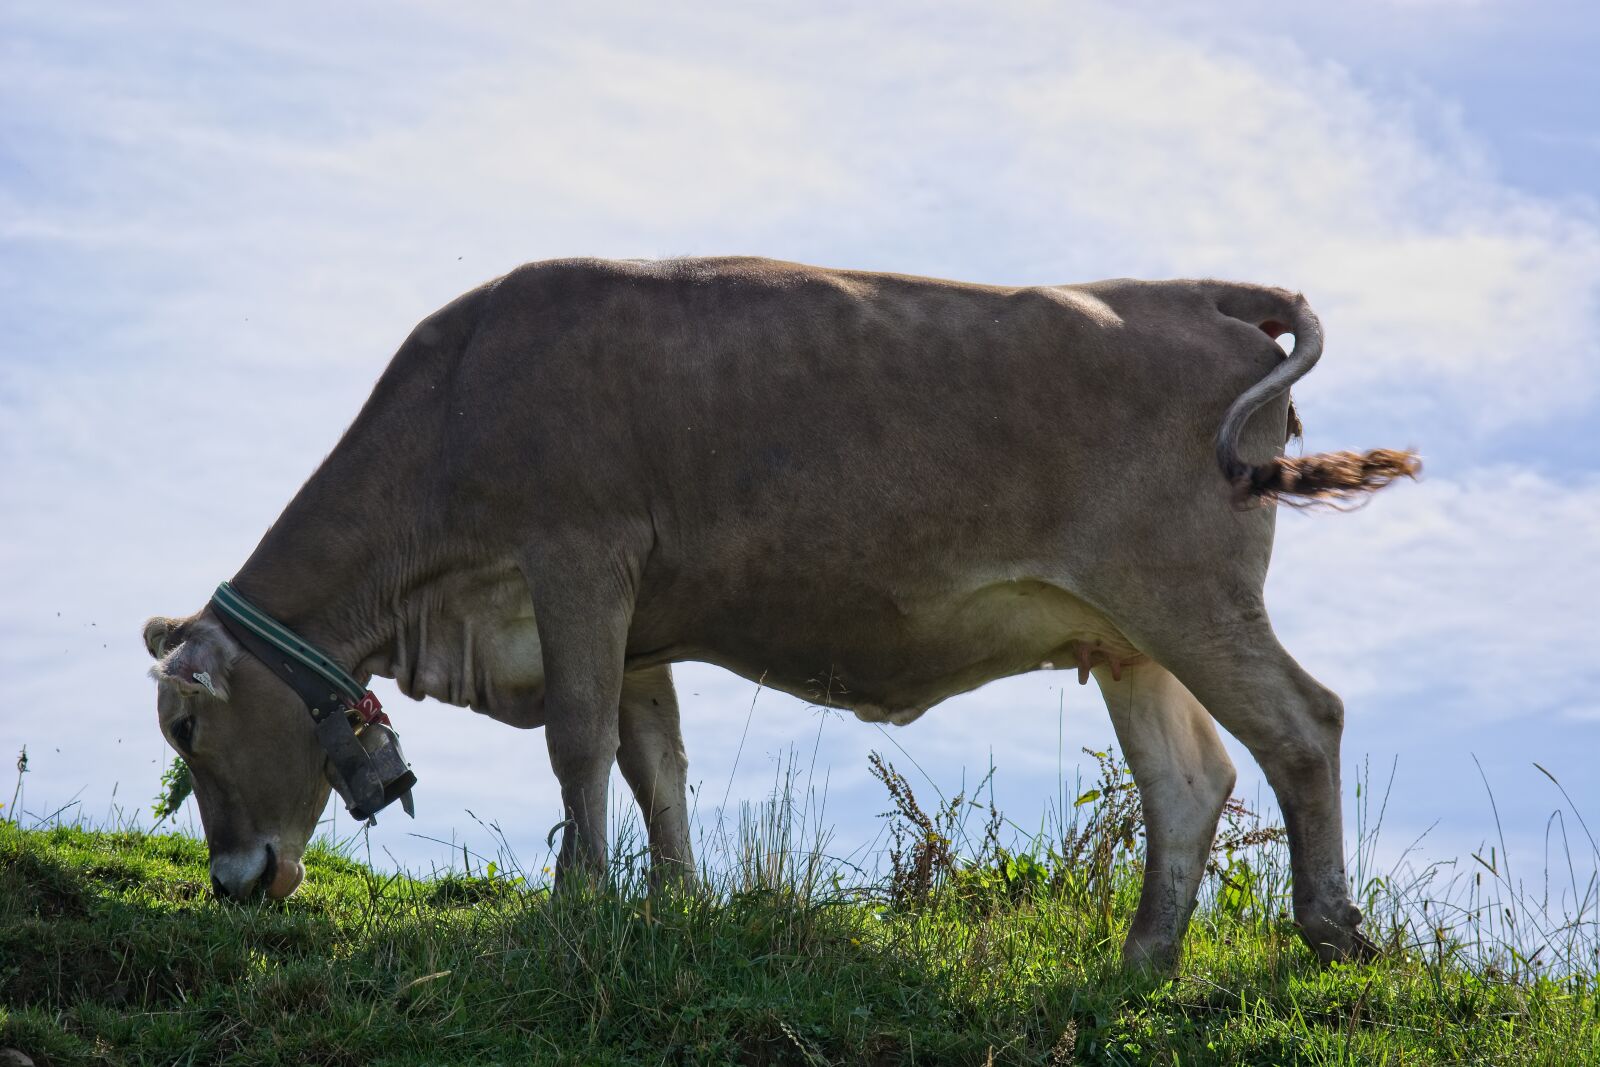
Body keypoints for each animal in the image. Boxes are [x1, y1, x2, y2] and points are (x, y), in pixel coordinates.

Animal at [143, 256, 1416, 969]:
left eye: (186, 727)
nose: (234, 881)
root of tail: (1193, 292)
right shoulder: (637, 615)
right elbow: (651, 757)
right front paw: (673, 902)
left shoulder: (578, 556)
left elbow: (576, 743)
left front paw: (577, 901)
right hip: (1126, 631)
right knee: (1190, 777)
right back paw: (1141, 958)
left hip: (1187, 586)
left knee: (1303, 722)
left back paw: (1328, 930)